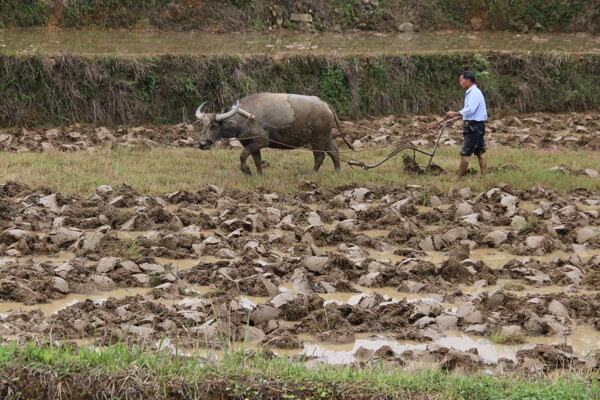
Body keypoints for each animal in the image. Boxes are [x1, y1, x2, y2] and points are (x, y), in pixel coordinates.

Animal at [197, 94, 354, 176]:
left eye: (213, 125)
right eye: (202, 125)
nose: (201, 144)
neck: (245, 119)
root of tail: (325, 105)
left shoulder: (261, 141)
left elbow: (243, 155)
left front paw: (246, 170)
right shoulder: (251, 143)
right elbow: (257, 160)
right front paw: (259, 175)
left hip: (317, 140)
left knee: (320, 156)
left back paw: (312, 173)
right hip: (326, 139)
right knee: (334, 151)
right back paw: (338, 171)